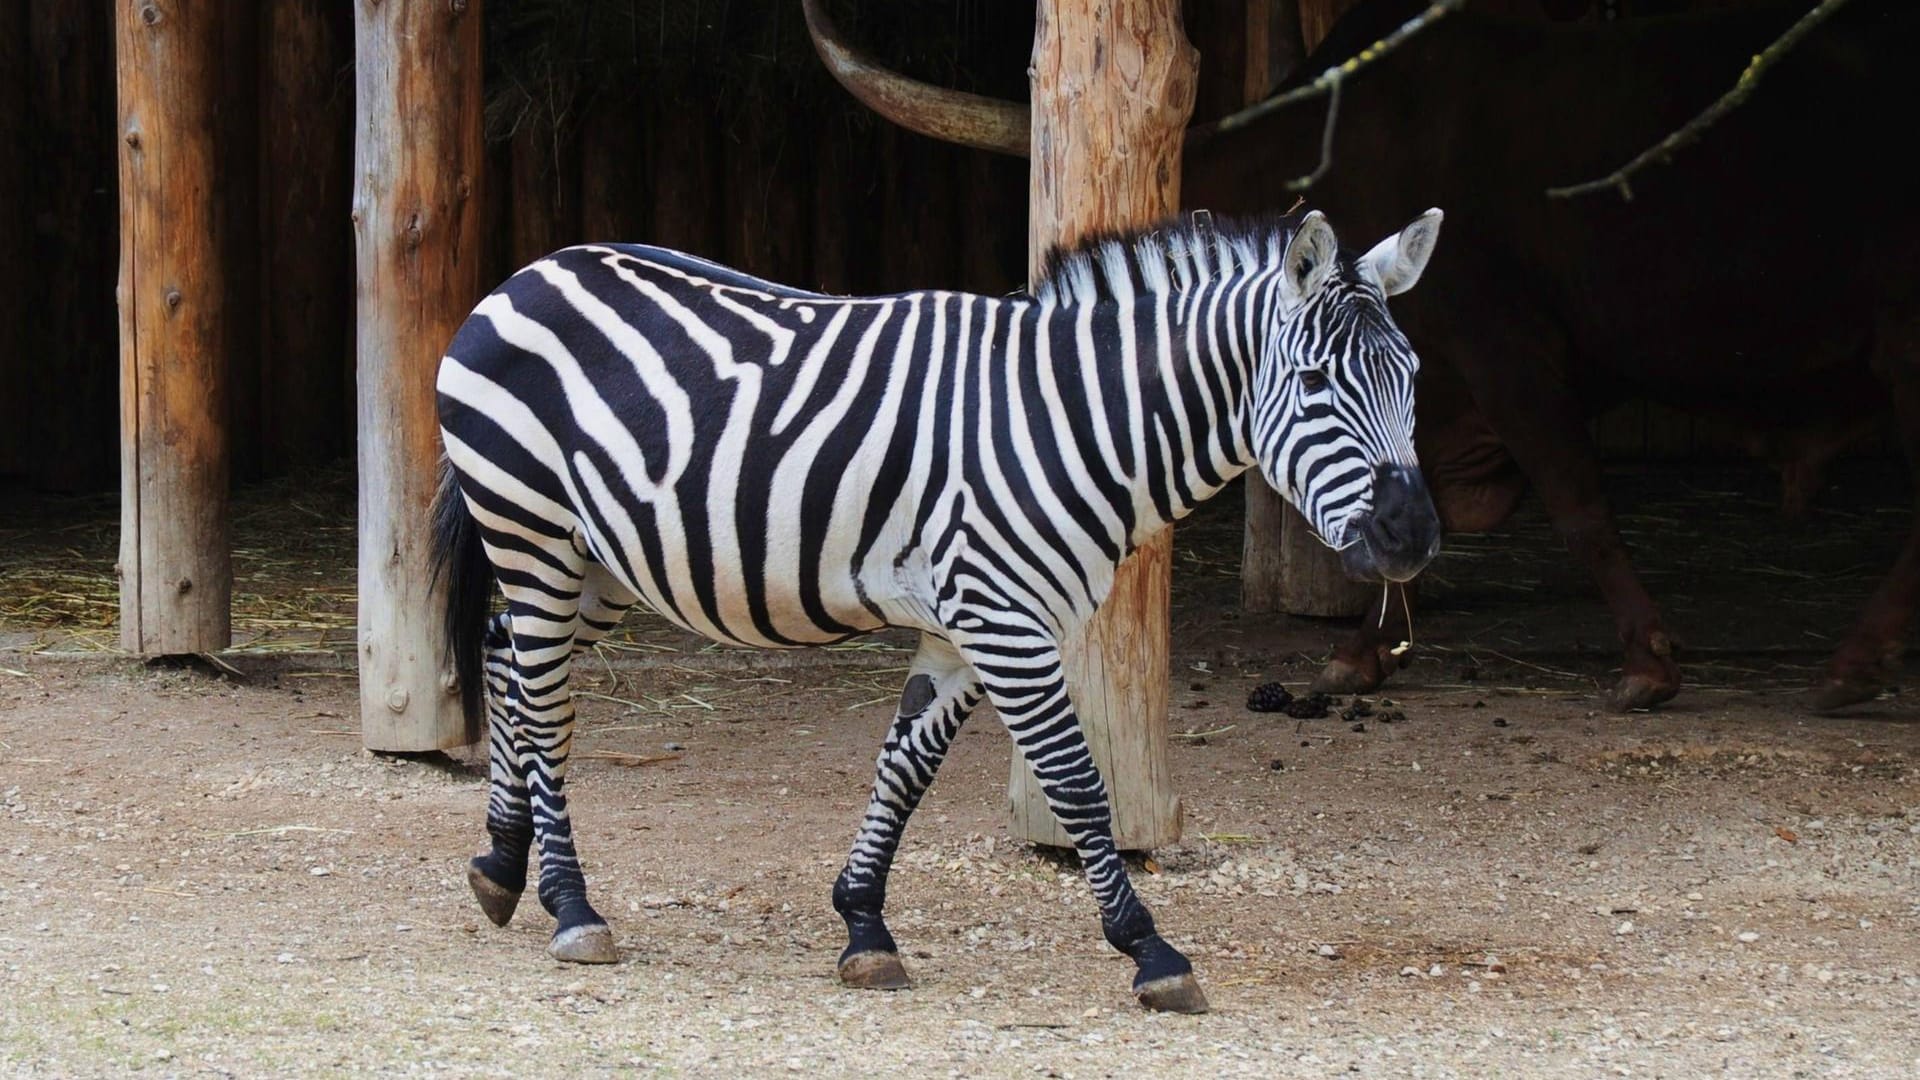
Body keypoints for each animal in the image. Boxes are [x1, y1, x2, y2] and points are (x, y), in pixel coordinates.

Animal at [432, 208, 1443, 1006]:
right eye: (1315, 385)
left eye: (1414, 377)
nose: (1414, 535)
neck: (1071, 423)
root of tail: (527, 272)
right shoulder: (1005, 622)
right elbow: (1078, 782)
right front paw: (1150, 950)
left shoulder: (963, 630)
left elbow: (904, 769)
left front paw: (863, 924)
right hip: (531, 529)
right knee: (546, 704)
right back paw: (571, 906)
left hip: (597, 562)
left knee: (507, 661)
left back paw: (502, 867)